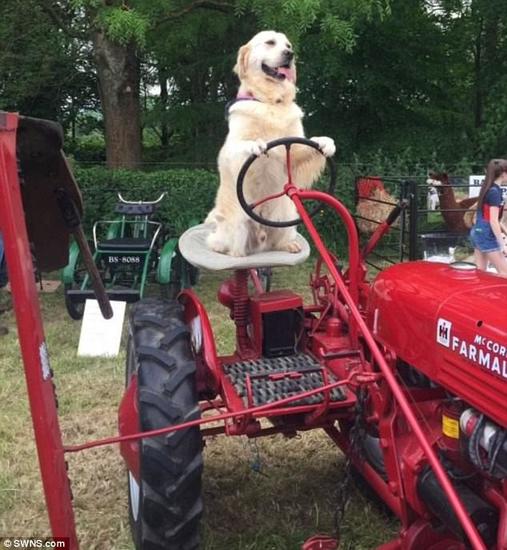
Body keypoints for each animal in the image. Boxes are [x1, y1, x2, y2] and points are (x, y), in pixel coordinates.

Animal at [204, 31, 336, 258]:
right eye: (270, 43)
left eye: (288, 45)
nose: (290, 54)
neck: (270, 101)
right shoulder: (231, 150)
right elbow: (243, 145)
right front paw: (255, 145)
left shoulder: (293, 147)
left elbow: (308, 145)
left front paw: (325, 142)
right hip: (238, 224)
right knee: (230, 248)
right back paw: (230, 252)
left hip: (288, 217)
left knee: (277, 241)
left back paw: (289, 245)